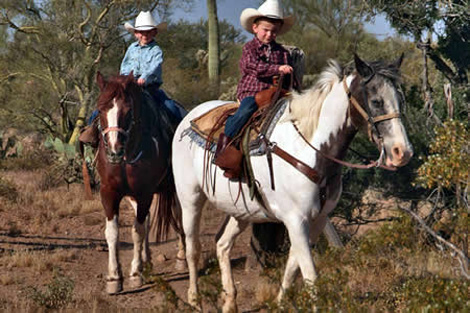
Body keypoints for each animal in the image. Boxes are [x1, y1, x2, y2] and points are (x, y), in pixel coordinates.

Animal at [93, 71, 184, 292]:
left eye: (128, 110)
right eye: (100, 109)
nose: (114, 150)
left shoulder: (144, 193)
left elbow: (137, 232)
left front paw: (134, 274)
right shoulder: (109, 193)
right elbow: (113, 233)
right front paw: (114, 278)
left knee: (179, 215)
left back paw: (181, 258)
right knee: (149, 220)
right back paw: (147, 261)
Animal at [172, 54, 412, 310]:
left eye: (401, 100)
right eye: (376, 101)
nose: (402, 152)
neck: (310, 147)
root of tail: (189, 116)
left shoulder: (316, 220)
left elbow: (292, 269)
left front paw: (279, 303)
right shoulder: (296, 220)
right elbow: (310, 277)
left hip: (241, 211)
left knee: (222, 245)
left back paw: (229, 302)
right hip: (190, 199)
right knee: (193, 248)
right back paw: (194, 299)